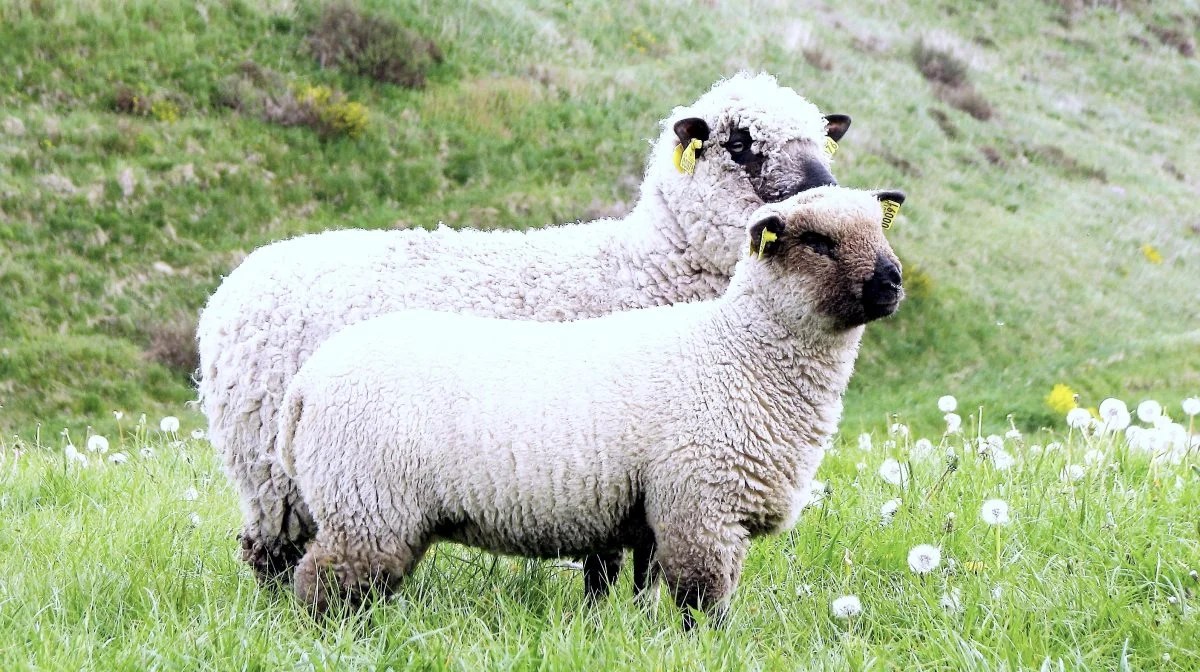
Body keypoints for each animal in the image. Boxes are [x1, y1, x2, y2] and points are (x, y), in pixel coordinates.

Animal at [196, 70, 854, 590]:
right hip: (273, 467)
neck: (650, 264)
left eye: (822, 140)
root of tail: (228, 293)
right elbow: (614, 561)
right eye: (741, 144)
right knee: (272, 554)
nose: (825, 191)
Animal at [276, 183, 902, 624]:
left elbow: (651, 591)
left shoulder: (662, 514)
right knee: (322, 583)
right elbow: (702, 605)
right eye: (818, 242)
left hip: (378, 511)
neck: (738, 352)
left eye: (882, 229)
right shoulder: (699, 508)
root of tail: (306, 384)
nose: (892, 281)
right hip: (368, 504)